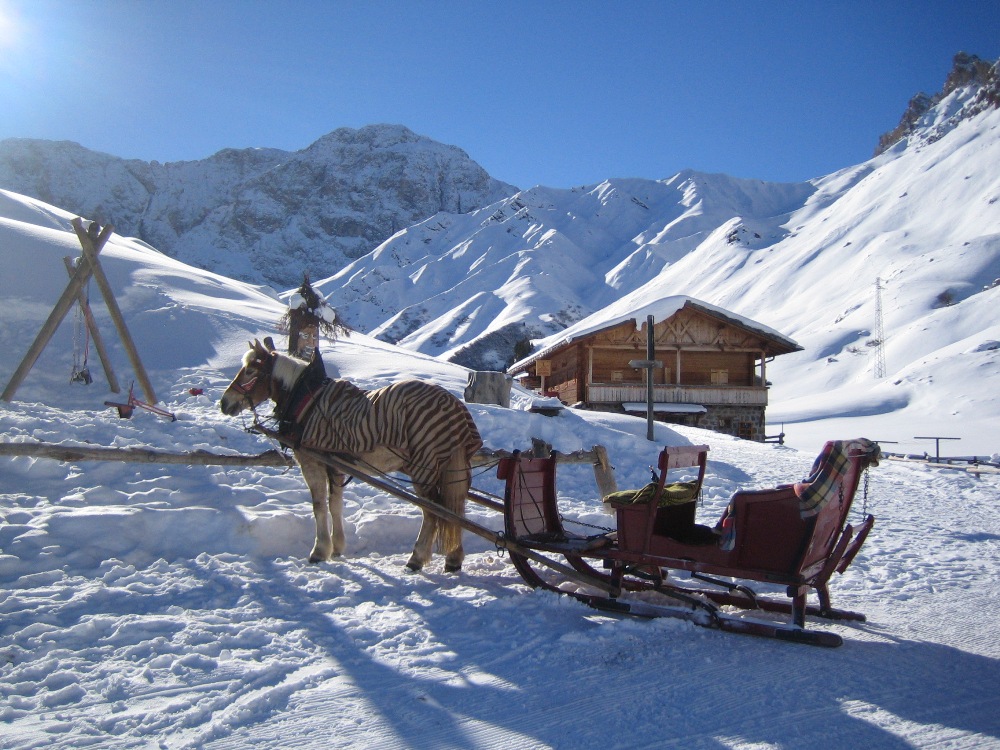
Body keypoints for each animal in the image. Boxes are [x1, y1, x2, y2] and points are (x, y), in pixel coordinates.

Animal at [220, 338, 484, 572]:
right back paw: (453, 558)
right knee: (454, 508)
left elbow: (319, 505)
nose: (224, 403)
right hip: (448, 469)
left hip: (424, 467)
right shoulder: (335, 465)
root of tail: (454, 406)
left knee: (432, 512)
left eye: (250, 371)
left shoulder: (312, 461)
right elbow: (335, 504)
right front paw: (337, 548)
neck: (307, 399)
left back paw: (416, 558)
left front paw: (319, 551)